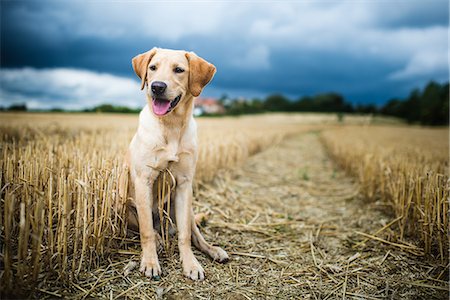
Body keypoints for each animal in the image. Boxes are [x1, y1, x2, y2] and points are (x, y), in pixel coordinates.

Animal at [119, 48, 229, 280]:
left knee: (195, 234)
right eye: (153, 68)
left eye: (179, 70)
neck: (171, 125)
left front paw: (191, 264)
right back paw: (159, 241)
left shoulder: (185, 184)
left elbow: (185, 236)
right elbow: (145, 231)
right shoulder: (144, 181)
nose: (157, 86)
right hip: (123, 205)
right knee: (150, 229)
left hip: (185, 207)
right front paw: (150, 262)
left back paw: (214, 250)